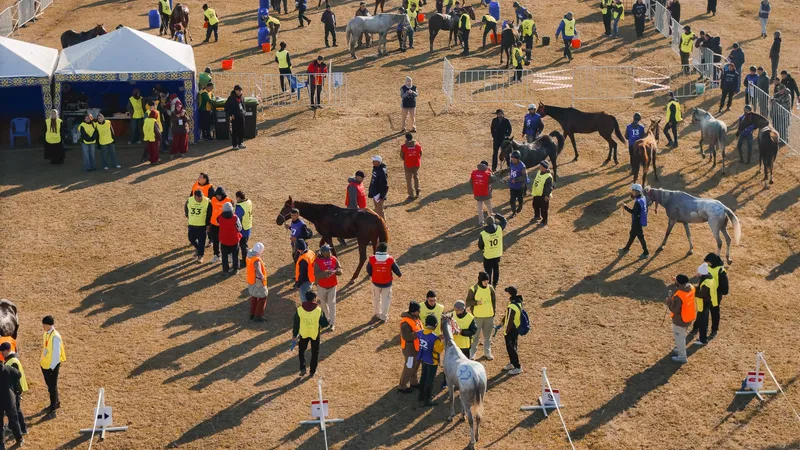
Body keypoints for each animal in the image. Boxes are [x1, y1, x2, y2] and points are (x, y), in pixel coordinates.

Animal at [441, 313, 487, 450]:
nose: (458, 330)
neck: (451, 346)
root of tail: (476, 376)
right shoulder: (460, 388)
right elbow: (459, 400)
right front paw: (461, 415)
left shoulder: (450, 381)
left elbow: (452, 398)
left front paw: (451, 416)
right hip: (481, 396)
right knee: (478, 417)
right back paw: (477, 436)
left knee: (472, 420)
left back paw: (472, 442)